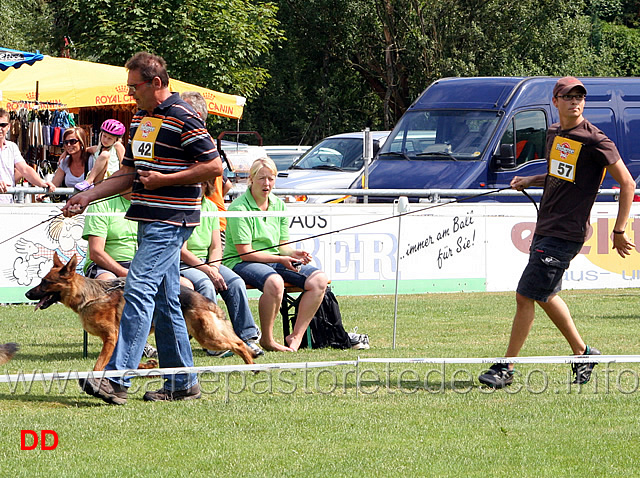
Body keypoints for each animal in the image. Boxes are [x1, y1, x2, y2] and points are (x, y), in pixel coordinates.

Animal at [25, 252, 255, 372]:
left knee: (238, 344)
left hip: (207, 336)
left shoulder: (111, 337)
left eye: (45, 282)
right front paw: (146, 365)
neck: (90, 296)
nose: (27, 293)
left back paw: (251, 365)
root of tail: (205, 299)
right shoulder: (117, 340)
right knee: (238, 342)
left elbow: (99, 366)